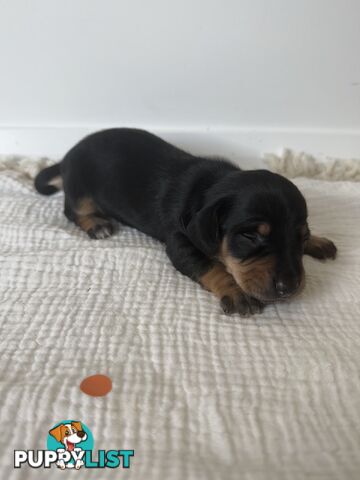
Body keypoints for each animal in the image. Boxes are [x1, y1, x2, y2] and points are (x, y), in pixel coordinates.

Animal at [35, 128, 336, 316]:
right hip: (81, 190)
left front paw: (319, 241)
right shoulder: (180, 243)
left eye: (301, 237)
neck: (213, 186)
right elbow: (211, 266)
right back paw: (96, 224)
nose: (290, 288)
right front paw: (236, 293)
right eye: (250, 236)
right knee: (72, 209)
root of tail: (66, 156)